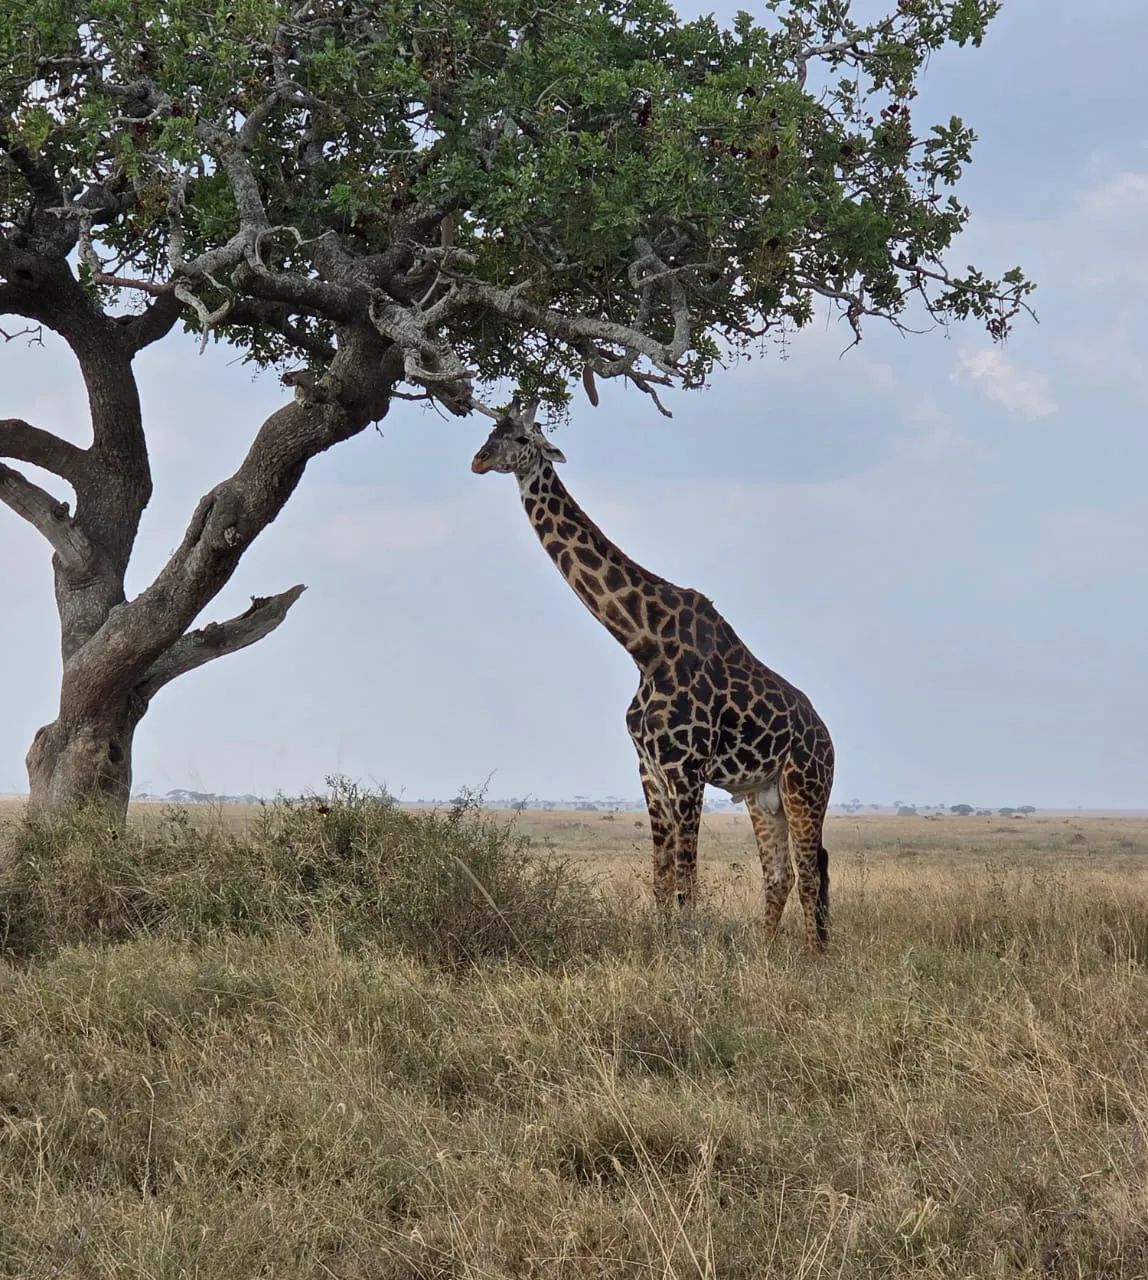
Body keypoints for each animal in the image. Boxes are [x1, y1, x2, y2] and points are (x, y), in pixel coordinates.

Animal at [471, 402, 836, 950]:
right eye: (491, 429)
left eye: (520, 437)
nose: (479, 459)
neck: (642, 645)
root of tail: (829, 739)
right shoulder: (648, 768)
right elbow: (662, 877)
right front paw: (661, 947)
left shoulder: (686, 768)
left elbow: (686, 877)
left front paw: (686, 950)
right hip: (762, 795)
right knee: (780, 874)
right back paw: (765, 954)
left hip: (805, 786)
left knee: (811, 871)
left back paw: (813, 958)